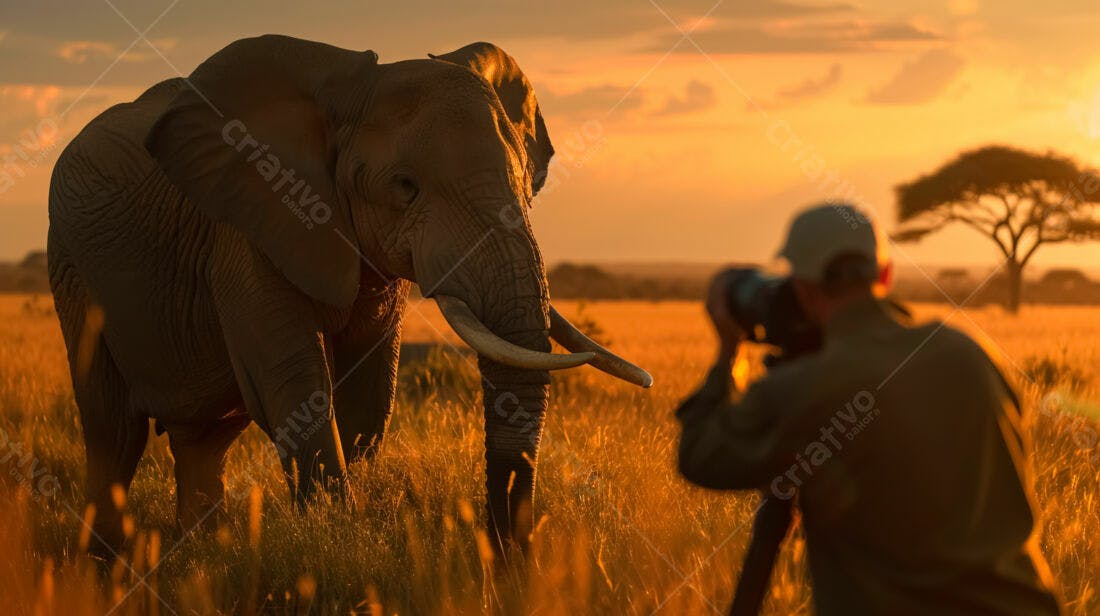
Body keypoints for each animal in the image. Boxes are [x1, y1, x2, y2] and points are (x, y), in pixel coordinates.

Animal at [47, 35, 652, 561]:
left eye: (527, 185)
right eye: (404, 187)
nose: (505, 554)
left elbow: (369, 391)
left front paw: (349, 531)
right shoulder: (245, 228)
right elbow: (294, 383)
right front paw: (332, 542)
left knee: (203, 439)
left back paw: (201, 556)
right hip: (70, 263)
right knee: (113, 428)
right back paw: (102, 560)